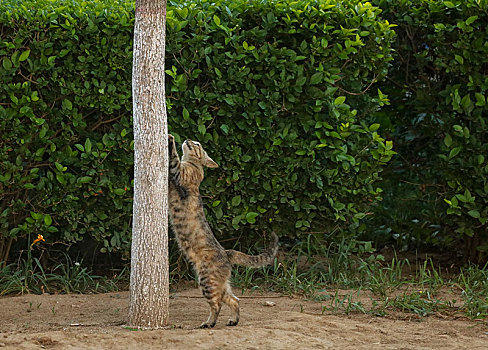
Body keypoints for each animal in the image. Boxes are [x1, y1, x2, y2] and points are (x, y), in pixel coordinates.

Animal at [168, 134, 278, 328]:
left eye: (197, 144)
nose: (188, 139)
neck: (194, 165)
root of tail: (227, 252)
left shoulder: (179, 174)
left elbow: (173, 158)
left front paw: (170, 138)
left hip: (207, 282)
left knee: (216, 304)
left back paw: (209, 323)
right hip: (220, 285)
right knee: (235, 300)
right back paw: (233, 320)